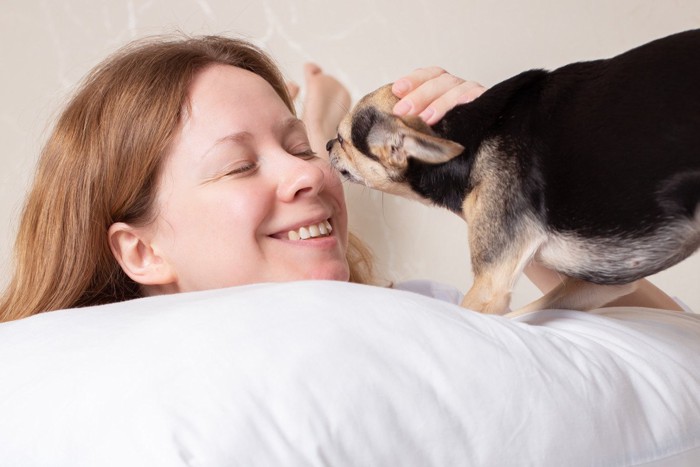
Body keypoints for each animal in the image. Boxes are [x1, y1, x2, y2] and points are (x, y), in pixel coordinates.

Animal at [328, 28, 700, 314]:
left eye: (343, 139)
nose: (329, 145)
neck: (470, 137)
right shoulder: (604, 283)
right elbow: (526, 312)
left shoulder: (489, 286)